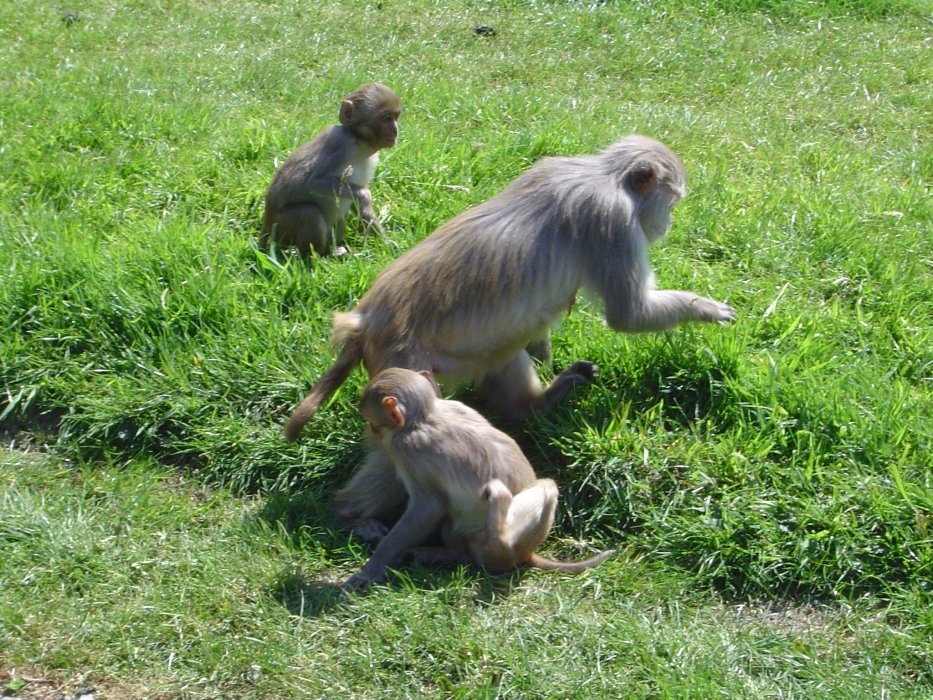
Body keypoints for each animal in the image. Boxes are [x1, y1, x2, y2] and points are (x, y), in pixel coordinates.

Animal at [258, 82, 400, 258]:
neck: (359, 141)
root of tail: (266, 222)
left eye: (396, 117)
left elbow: (360, 208)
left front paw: (387, 245)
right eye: (385, 118)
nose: (395, 130)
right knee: (309, 212)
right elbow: (315, 183)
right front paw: (365, 195)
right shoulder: (342, 145)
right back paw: (313, 258)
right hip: (280, 226)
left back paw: (331, 253)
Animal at [284, 132, 736, 438]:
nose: (667, 224)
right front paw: (704, 308)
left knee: (507, 342)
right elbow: (629, 315)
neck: (604, 177)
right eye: (671, 202)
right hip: (406, 360)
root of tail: (365, 322)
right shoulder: (613, 223)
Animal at [338, 366, 616, 592]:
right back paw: (448, 553)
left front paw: (372, 568)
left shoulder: (407, 451)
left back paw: (499, 533)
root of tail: (527, 553)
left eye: (375, 425)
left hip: (504, 543)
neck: (425, 416)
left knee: (544, 489)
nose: (372, 434)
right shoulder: (456, 405)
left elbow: (428, 507)